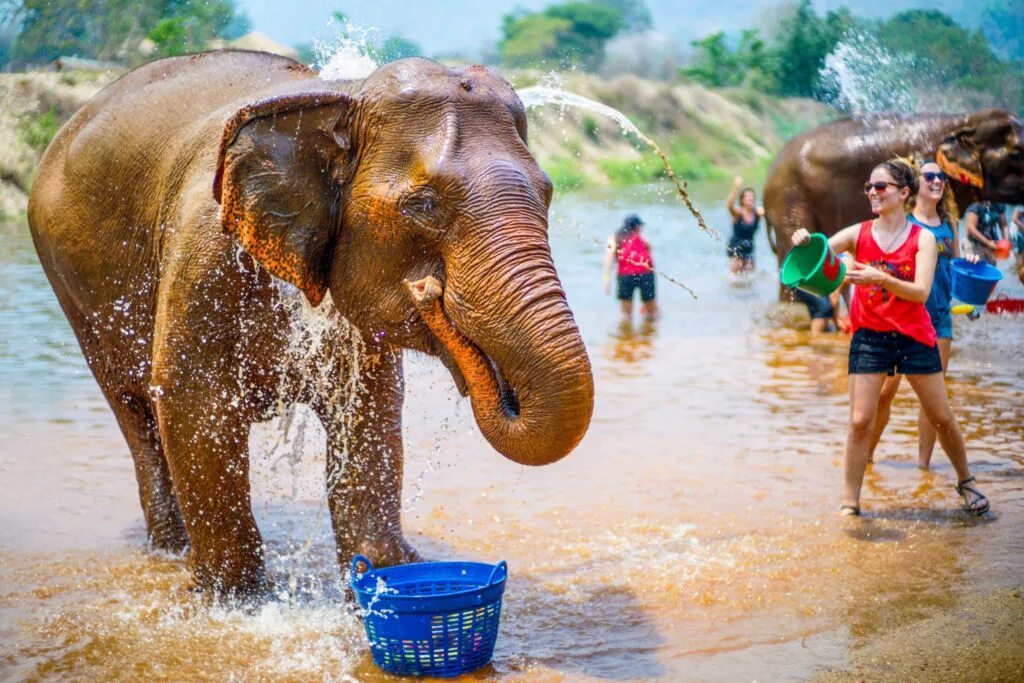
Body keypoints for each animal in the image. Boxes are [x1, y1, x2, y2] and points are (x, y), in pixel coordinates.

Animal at [28, 52, 598, 598]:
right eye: (424, 205)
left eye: (548, 194)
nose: (429, 292)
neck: (343, 96)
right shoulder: (203, 252)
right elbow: (195, 405)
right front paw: (233, 601)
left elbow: (368, 417)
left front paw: (382, 576)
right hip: (71, 283)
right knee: (137, 412)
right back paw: (171, 551)